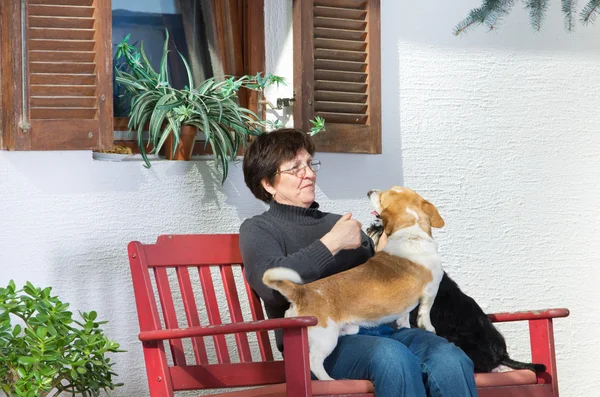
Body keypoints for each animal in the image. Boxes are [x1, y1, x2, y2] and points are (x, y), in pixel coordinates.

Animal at [262, 187, 446, 378]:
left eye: (383, 196)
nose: (369, 191)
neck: (411, 236)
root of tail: (301, 292)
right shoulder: (430, 292)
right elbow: (425, 313)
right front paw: (429, 328)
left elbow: (404, 319)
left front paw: (406, 327)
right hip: (326, 338)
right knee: (314, 362)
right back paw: (329, 380)